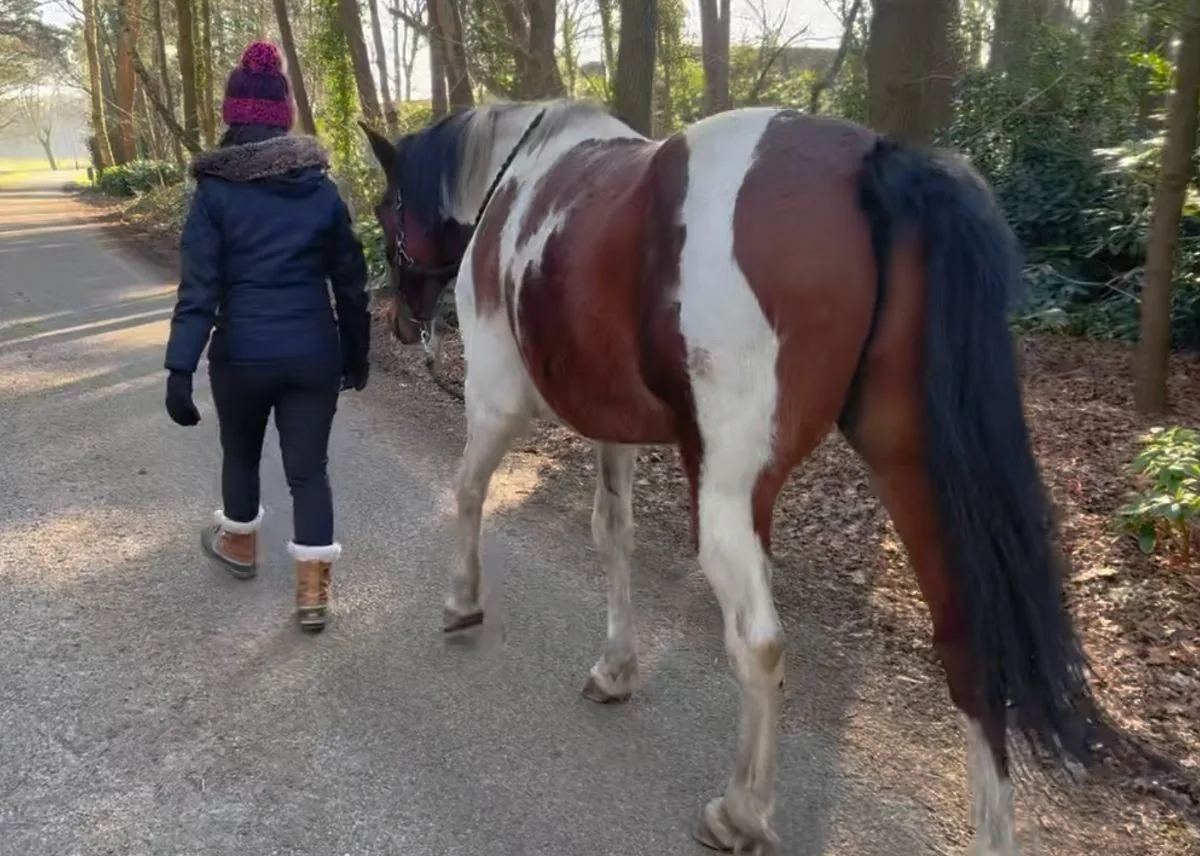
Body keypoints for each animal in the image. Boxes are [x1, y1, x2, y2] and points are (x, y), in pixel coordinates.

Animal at [360, 99, 1099, 854]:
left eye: (387, 208)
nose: (398, 321)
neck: (513, 180)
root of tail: (875, 161)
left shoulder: (495, 400)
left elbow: (467, 489)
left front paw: (461, 601)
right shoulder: (614, 426)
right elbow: (612, 532)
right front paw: (615, 667)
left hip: (728, 494)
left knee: (760, 644)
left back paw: (741, 810)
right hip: (913, 471)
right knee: (972, 654)